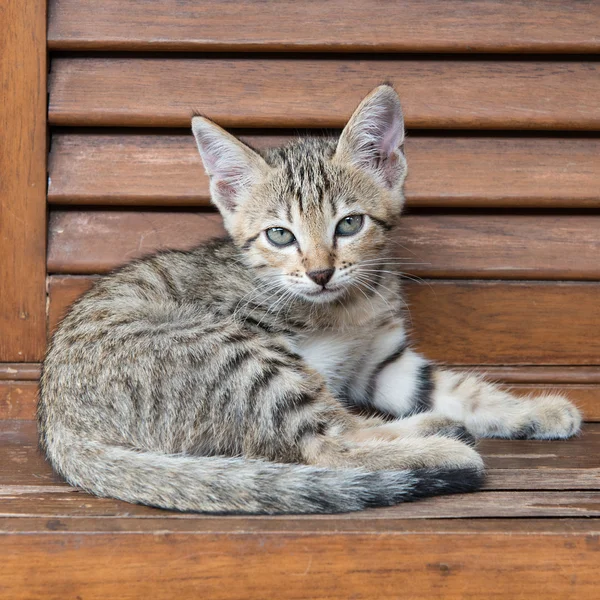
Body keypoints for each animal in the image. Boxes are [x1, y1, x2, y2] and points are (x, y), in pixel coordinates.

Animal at [37, 84, 580, 512]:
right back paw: (443, 446)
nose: (320, 272)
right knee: (325, 444)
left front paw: (531, 410)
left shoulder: (382, 360)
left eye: (349, 224)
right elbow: (329, 436)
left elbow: (457, 387)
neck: (346, 309)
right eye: (280, 235)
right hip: (239, 354)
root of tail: (60, 426)